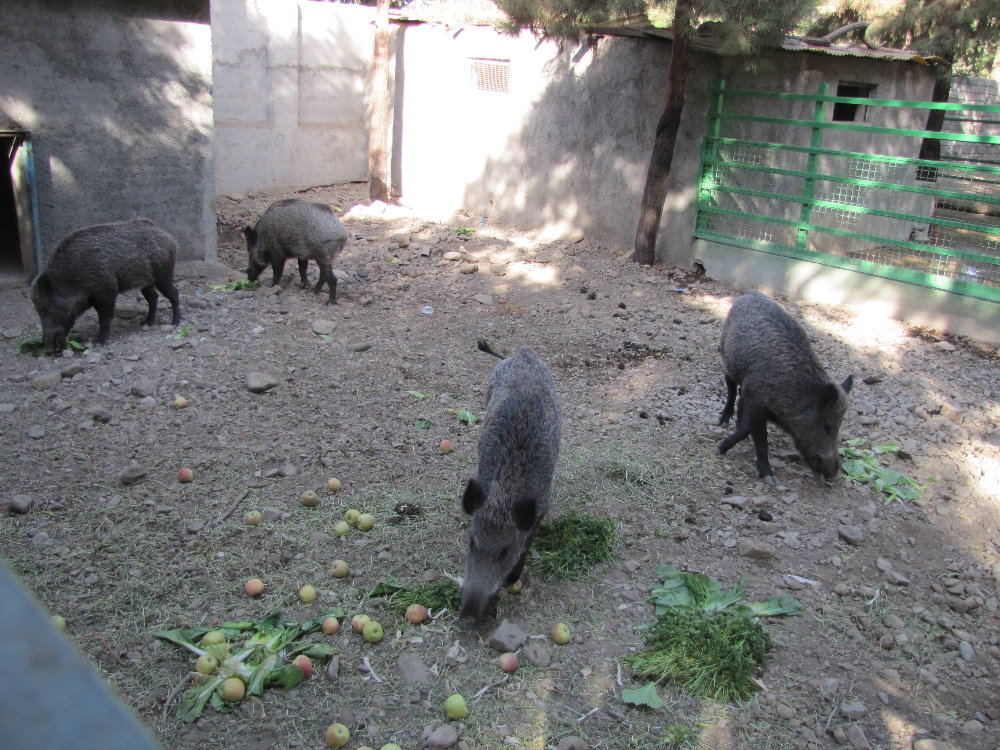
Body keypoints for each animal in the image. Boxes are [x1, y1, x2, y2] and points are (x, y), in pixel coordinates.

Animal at [30, 218, 181, 352]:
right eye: (38, 310)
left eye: (46, 309)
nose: (47, 349)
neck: (71, 279)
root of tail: (168, 236)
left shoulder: (106, 291)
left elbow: (104, 318)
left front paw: (99, 342)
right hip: (147, 283)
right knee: (153, 297)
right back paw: (146, 323)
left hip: (164, 275)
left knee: (174, 294)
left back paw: (175, 322)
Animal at [458, 339, 562, 629]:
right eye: (472, 542)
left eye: (504, 551)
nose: (466, 619)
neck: (503, 495)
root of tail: (522, 354)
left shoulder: (541, 508)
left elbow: (526, 543)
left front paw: (513, 579)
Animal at [716, 291, 853, 483]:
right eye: (826, 425)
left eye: (840, 425)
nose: (833, 475)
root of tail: (750, 293)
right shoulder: (758, 403)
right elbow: (762, 441)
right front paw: (770, 478)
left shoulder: (758, 403)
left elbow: (746, 428)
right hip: (727, 360)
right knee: (731, 391)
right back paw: (723, 422)